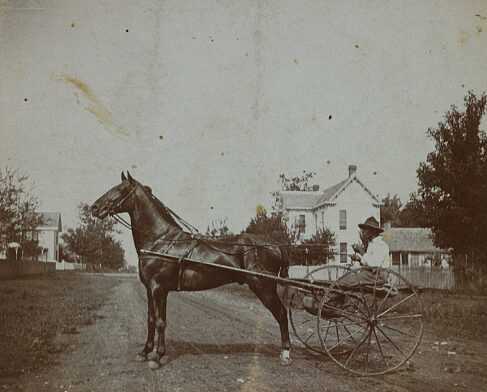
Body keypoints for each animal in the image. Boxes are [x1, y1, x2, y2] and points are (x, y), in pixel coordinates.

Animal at [89, 173, 292, 370]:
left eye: (120, 189)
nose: (94, 207)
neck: (160, 240)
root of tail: (274, 245)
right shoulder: (153, 290)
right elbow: (152, 320)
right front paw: (146, 352)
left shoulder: (157, 288)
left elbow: (160, 322)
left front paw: (156, 357)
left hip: (263, 287)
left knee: (282, 314)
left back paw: (285, 354)